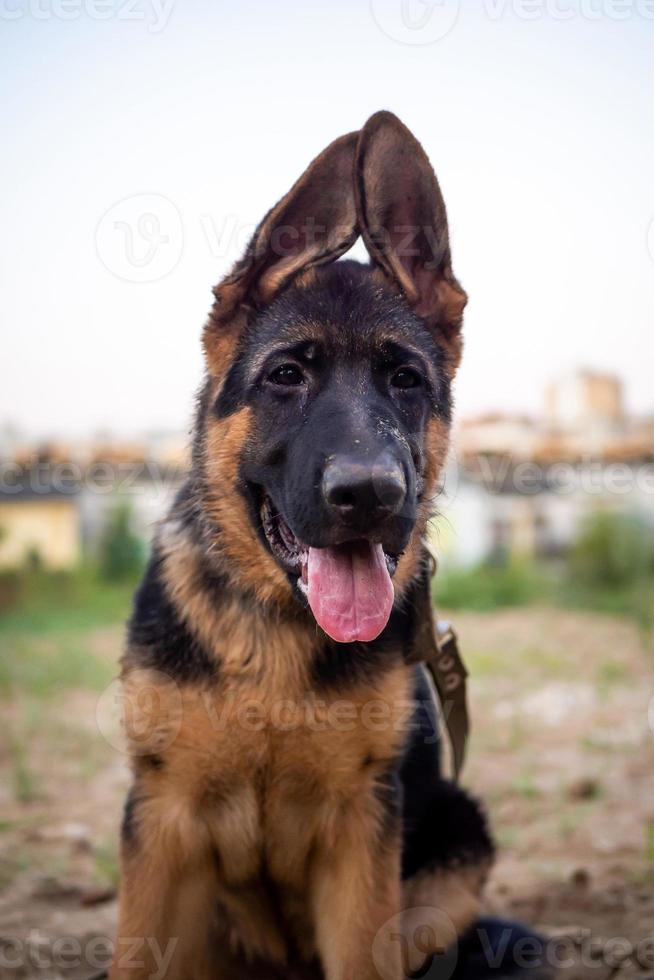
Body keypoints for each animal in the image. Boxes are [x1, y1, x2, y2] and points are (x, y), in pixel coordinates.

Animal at [111, 115, 532, 980]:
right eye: (286, 375)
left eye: (406, 380)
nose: (370, 495)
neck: (279, 630)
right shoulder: (162, 823)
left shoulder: (361, 835)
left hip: (455, 836)